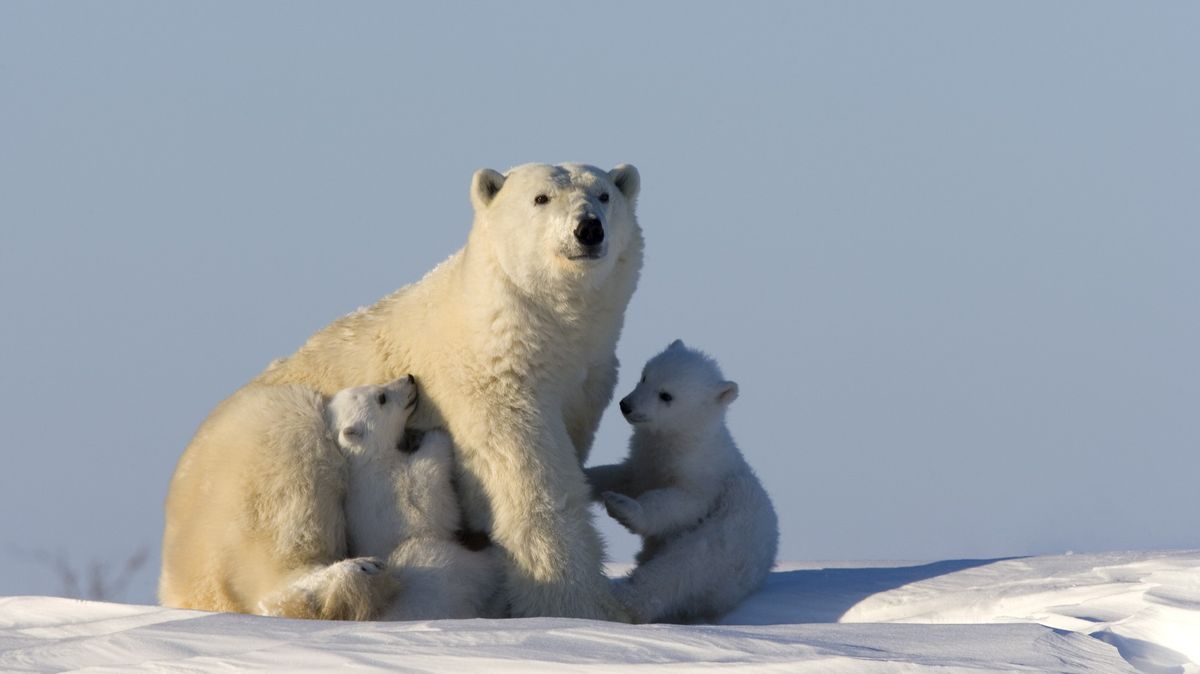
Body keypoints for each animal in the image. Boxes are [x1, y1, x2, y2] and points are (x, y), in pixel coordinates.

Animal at [166, 163, 648, 618]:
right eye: (541, 197)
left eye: (604, 194)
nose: (588, 228)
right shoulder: (491, 381)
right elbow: (530, 486)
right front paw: (587, 608)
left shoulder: (585, 381)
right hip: (247, 458)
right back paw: (353, 575)